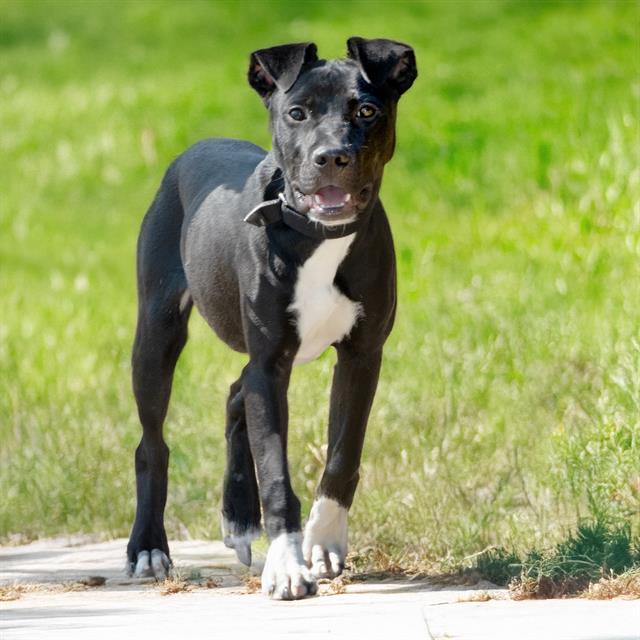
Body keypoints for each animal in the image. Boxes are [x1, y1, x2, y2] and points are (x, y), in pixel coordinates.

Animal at [127, 36, 418, 600]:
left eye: (367, 110)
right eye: (296, 113)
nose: (332, 157)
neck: (318, 237)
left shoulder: (361, 354)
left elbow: (342, 456)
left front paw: (323, 542)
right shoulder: (271, 361)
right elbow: (277, 473)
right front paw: (285, 566)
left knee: (235, 393)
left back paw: (239, 518)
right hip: (156, 334)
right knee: (152, 444)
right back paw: (149, 547)